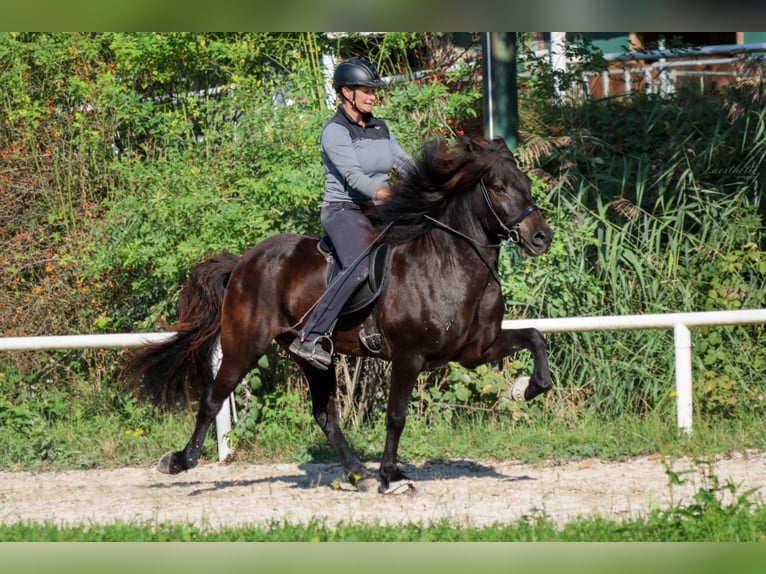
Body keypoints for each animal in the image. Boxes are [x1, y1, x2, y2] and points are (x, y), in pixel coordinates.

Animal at [129, 136, 556, 496]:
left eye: (525, 182)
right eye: (498, 187)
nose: (542, 238)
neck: (451, 263)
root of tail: (242, 264)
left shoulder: (475, 351)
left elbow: (535, 336)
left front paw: (526, 388)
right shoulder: (409, 356)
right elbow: (396, 416)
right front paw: (393, 476)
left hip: (312, 356)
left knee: (324, 415)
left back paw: (357, 475)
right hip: (244, 344)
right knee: (212, 399)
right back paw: (178, 461)